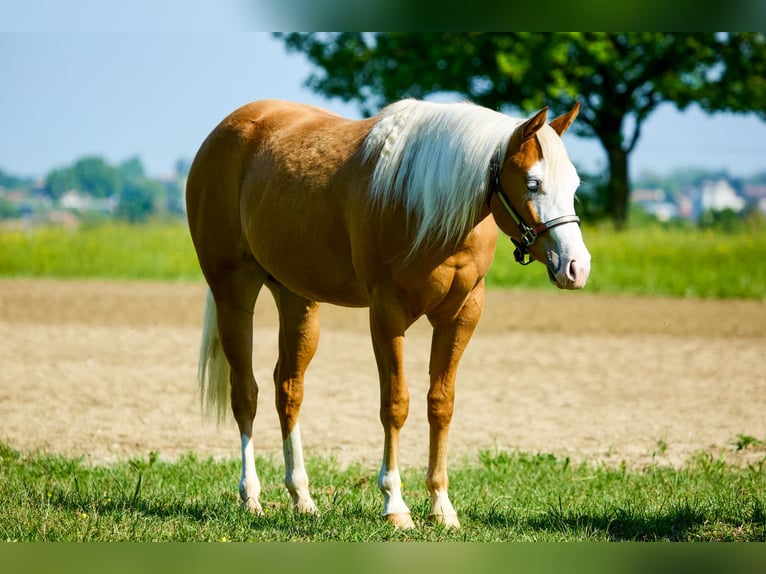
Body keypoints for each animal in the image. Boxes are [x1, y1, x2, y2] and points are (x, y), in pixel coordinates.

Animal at [186, 98, 590, 529]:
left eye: (574, 185)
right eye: (532, 184)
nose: (576, 267)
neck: (425, 199)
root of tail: (230, 128)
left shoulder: (461, 315)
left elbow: (440, 404)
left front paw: (442, 506)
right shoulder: (386, 314)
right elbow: (395, 404)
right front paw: (395, 505)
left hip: (296, 299)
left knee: (288, 390)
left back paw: (302, 498)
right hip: (233, 292)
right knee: (245, 393)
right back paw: (251, 497)